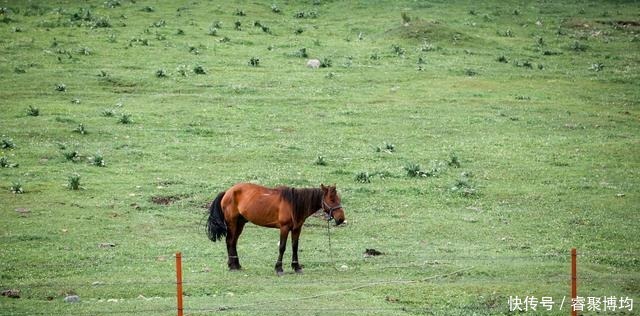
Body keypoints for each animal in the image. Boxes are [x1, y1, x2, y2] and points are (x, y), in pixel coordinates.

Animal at [205, 183, 344, 276]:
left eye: (338, 199)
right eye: (332, 199)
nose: (341, 219)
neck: (294, 204)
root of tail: (227, 191)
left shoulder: (296, 229)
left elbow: (295, 247)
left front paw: (296, 267)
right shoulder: (284, 228)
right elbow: (282, 247)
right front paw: (279, 268)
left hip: (240, 224)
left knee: (233, 242)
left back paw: (236, 265)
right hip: (232, 223)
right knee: (229, 241)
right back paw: (232, 266)